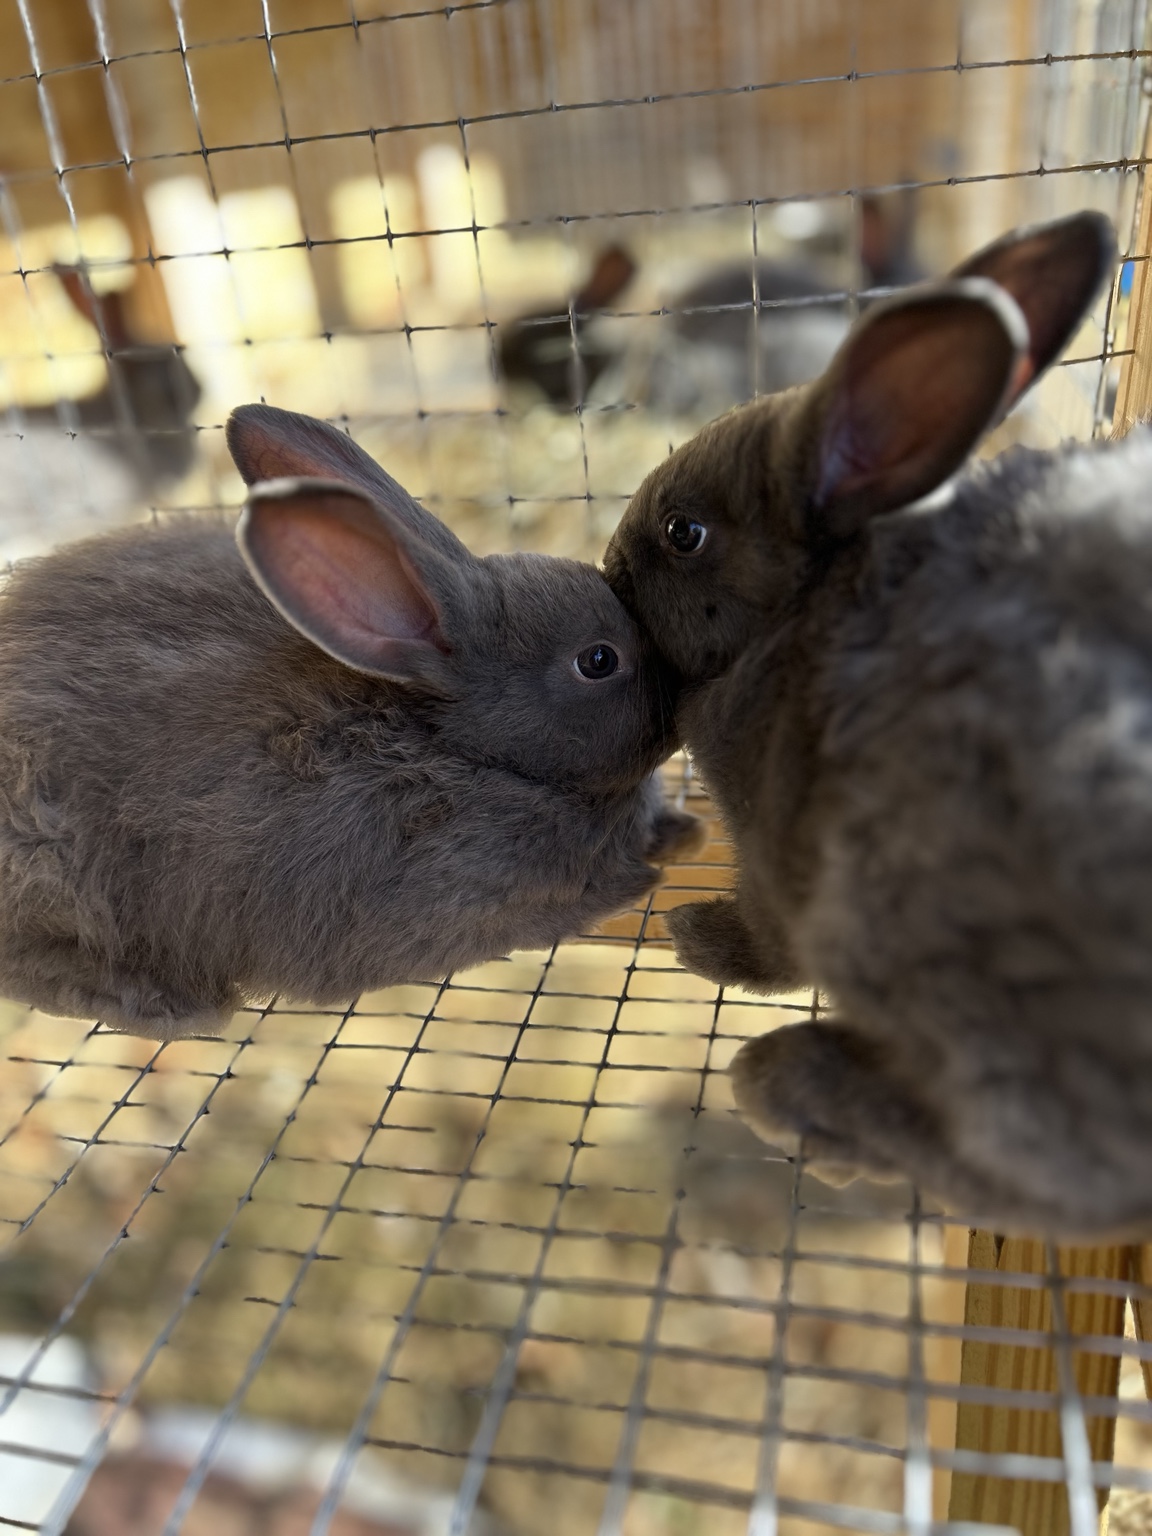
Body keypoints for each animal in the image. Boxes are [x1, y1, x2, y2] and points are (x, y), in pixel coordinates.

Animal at [600, 208, 1152, 1237]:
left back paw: (790, 1092)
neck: (806, 608)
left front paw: (699, 939)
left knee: (1041, 1175)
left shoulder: (776, 851)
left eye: (683, 534)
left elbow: (770, 945)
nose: (609, 570)